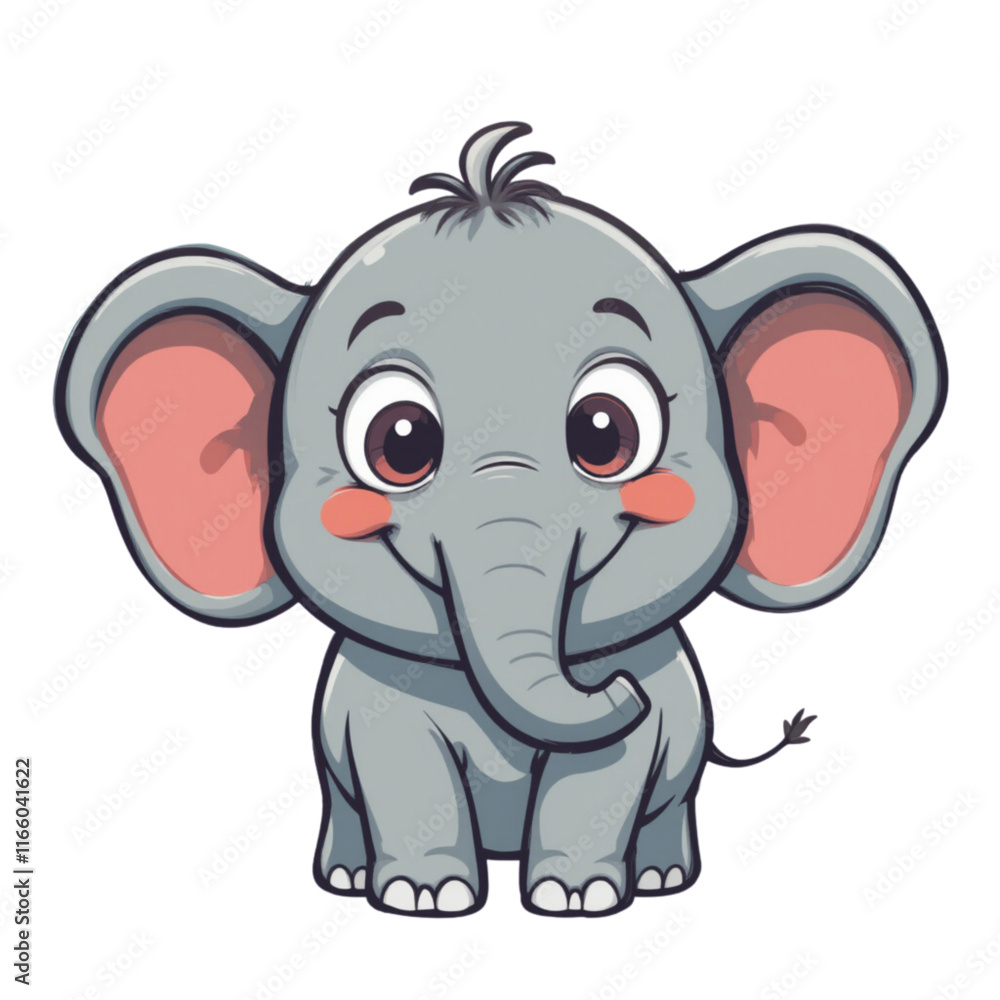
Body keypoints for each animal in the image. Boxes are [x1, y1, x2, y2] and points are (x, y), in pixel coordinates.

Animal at [55, 121, 946, 917]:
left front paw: (574, 900)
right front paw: (425, 900)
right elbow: (402, 766)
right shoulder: (379, 701)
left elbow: (609, 770)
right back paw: (345, 879)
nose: (617, 686)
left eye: (605, 434)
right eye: (399, 442)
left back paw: (662, 879)